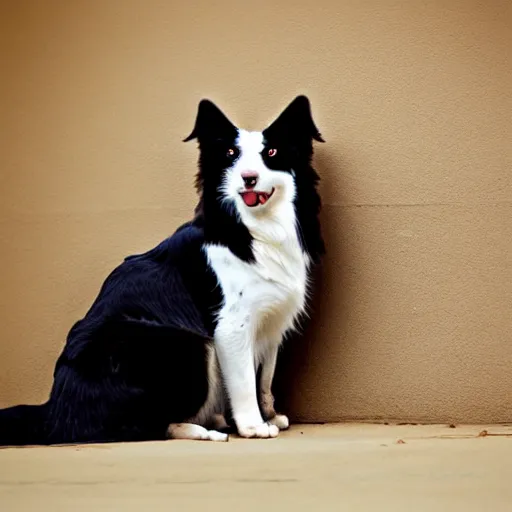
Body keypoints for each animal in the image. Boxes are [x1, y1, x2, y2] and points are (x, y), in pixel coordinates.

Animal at [0, 95, 326, 444]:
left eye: (272, 153)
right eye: (230, 155)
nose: (248, 177)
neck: (251, 230)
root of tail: (53, 411)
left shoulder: (273, 319)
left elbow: (264, 378)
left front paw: (269, 414)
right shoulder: (231, 325)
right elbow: (244, 381)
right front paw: (252, 426)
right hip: (179, 340)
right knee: (148, 425)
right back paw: (204, 429)